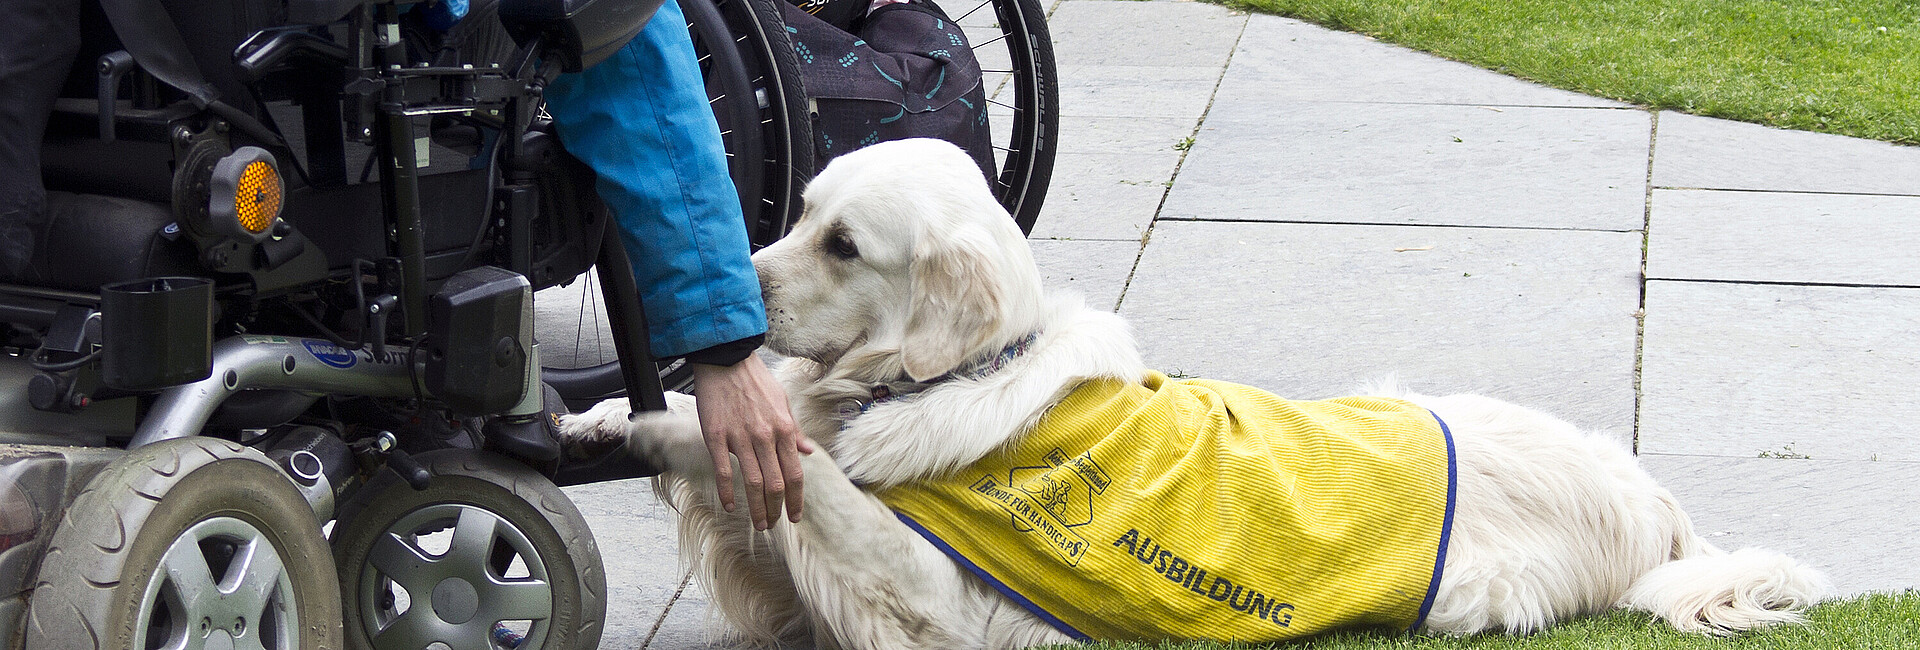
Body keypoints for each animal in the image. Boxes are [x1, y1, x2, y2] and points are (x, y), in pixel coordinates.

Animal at [560, 139, 1827, 648]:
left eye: (843, 243)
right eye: (801, 208)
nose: (729, 301)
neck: (975, 368)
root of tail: (1656, 501)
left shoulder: (929, 596)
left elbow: (822, 481)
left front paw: (653, 414)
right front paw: (603, 416)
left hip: (1474, 589)